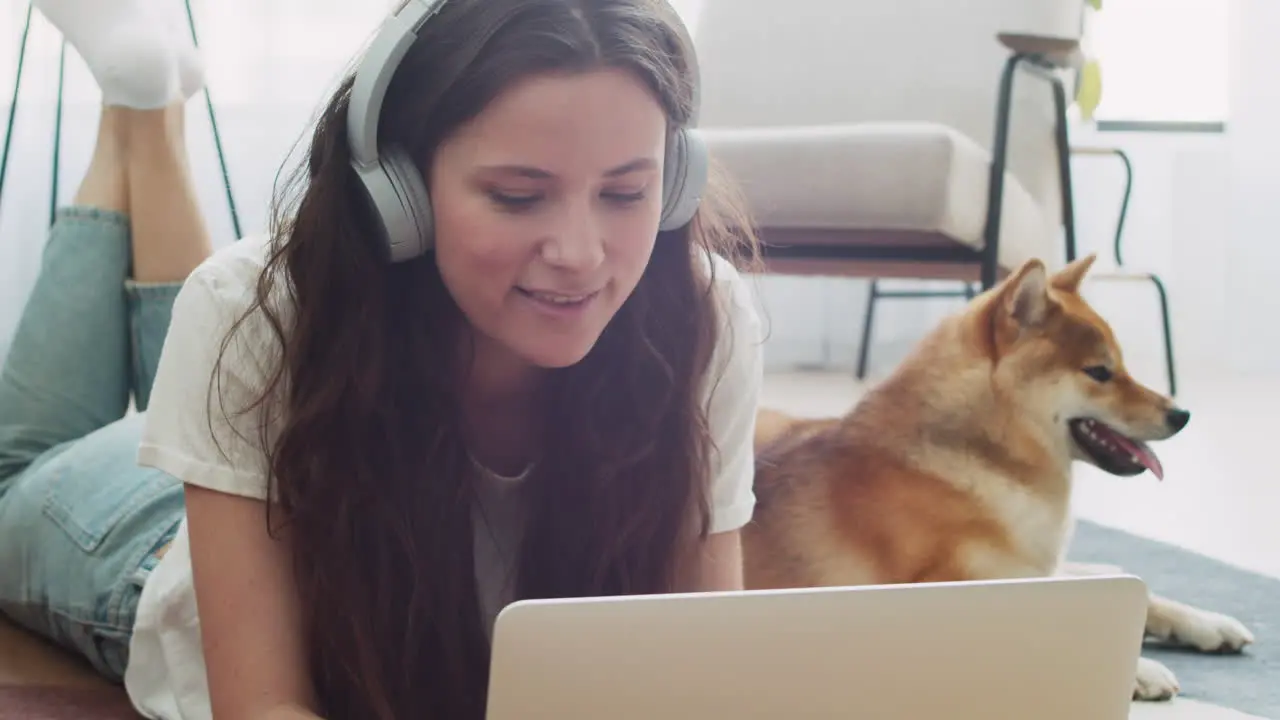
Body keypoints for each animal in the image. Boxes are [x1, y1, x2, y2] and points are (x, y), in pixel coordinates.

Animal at [747, 252, 1254, 696]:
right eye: (1099, 372)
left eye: (1123, 366)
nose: (1182, 414)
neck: (976, 463)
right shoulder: (945, 586)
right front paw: (1141, 670)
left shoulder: (1035, 567)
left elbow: (1136, 594)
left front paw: (1207, 623)